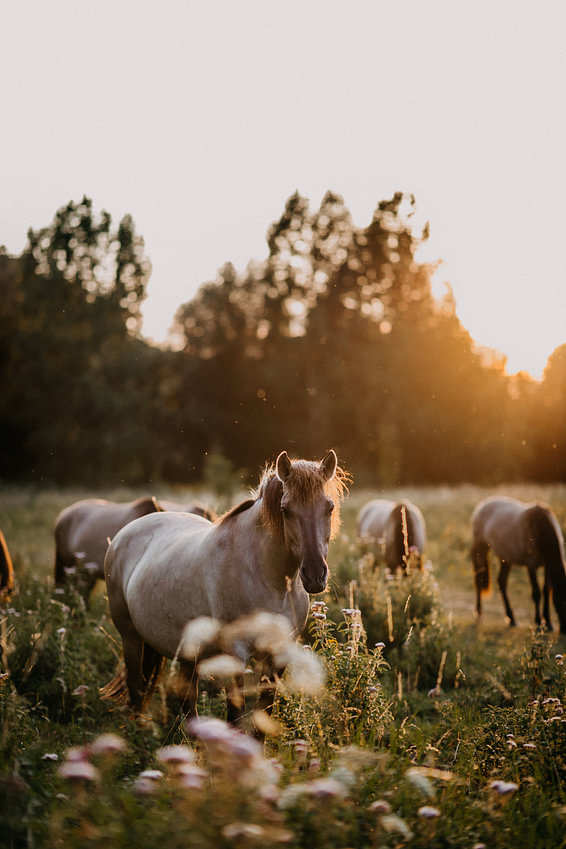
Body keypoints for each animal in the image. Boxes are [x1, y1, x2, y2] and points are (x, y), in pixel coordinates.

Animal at [101, 450, 349, 721]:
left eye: (329, 507)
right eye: (285, 510)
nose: (314, 575)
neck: (271, 582)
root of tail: (124, 534)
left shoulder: (279, 653)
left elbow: (263, 712)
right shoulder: (235, 654)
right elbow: (235, 714)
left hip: (187, 651)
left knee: (188, 704)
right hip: (131, 638)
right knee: (136, 688)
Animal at [471, 495, 566, 633]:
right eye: (562, 601)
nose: (564, 629)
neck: (540, 529)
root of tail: (481, 505)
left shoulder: (546, 567)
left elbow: (546, 591)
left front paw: (548, 623)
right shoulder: (531, 566)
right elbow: (537, 594)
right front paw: (538, 623)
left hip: (506, 558)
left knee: (502, 582)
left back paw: (512, 618)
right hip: (481, 549)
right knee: (479, 580)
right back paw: (479, 614)